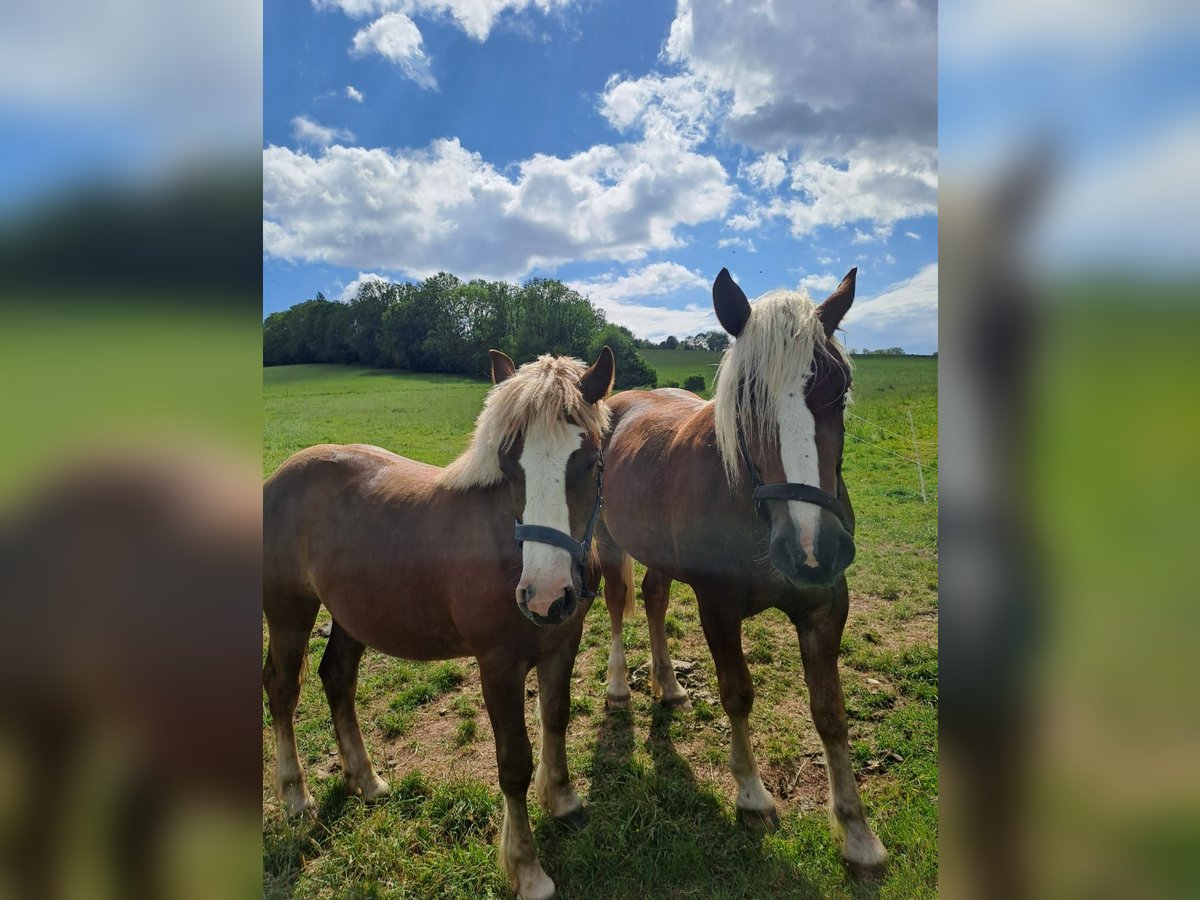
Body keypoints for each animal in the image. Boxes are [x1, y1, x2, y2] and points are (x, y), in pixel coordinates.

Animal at [263, 348, 614, 900]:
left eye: (591, 462)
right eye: (508, 465)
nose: (544, 596)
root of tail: (278, 477)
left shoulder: (563, 643)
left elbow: (556, 719)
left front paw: (563, 801)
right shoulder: (498, 666)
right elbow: (513, 764)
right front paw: (527, 870)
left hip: (350, 616)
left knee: (337, 678)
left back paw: (366, 781)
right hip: (288, 613)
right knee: (282, 689)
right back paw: (296, 798)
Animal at [594, 268, 887, 874]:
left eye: (840, 388)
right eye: (746, 397)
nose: (812, 548)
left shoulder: (826, 610)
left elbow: (830, 712)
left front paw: (857, 832)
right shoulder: (718, 608)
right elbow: (737, 693)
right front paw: (752, 797)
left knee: (654, 600)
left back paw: (668, 686)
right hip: (611, 544)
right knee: (616, 607)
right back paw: (618, 687)